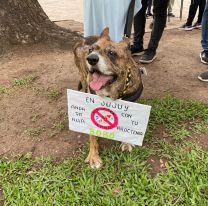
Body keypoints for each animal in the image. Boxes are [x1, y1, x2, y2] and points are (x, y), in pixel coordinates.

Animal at [74, 27, 144, 169]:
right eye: (91, 50)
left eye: (112, 53)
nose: (91, 58)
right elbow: (92, 135)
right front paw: (93, 156)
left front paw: (126, 141)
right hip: (83, 76)